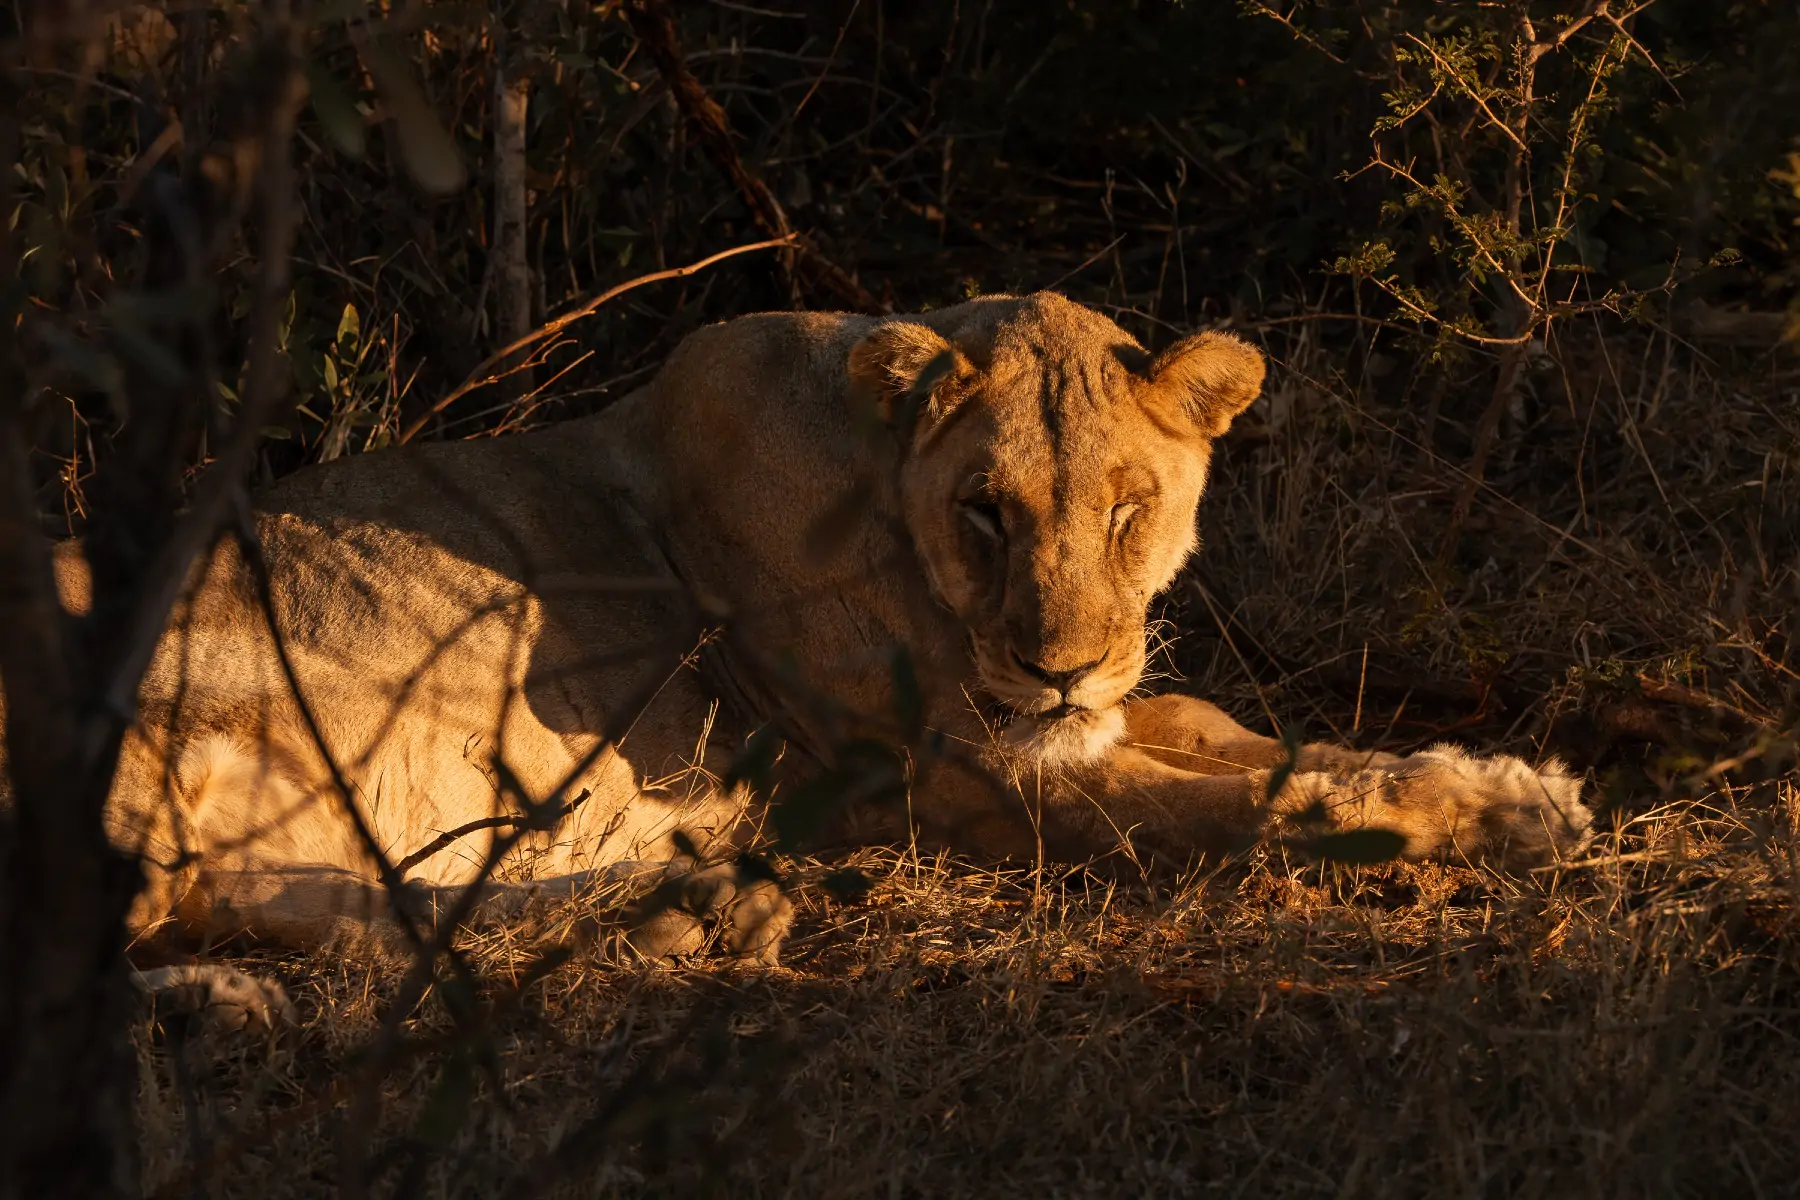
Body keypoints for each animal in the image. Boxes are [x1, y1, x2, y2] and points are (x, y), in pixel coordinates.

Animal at [28, 291, 1584, 1021]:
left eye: (1128, 510)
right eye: (987, 510)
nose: (1065, 669)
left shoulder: (1050, 733)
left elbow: (1240, 735)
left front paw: (1504, 776)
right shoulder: (961, 784)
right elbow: (1262, 804)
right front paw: (1504, 810)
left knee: (329, 907)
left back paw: (696, 912)